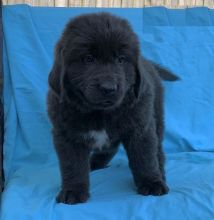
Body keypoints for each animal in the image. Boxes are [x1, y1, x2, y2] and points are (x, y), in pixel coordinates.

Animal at [47, 12, 178, 205]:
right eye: (88, 58)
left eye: (121, 60)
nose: (108, 88)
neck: (99, 113)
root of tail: (148, 63)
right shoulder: (66, 134)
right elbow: (73, 165)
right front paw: (73, 190)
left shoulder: (140, 128)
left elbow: (145, 157)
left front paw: (151, 183)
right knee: (110, 148)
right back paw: (94, 163)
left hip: (156, 115)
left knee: (157, 149)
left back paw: (160, 172)